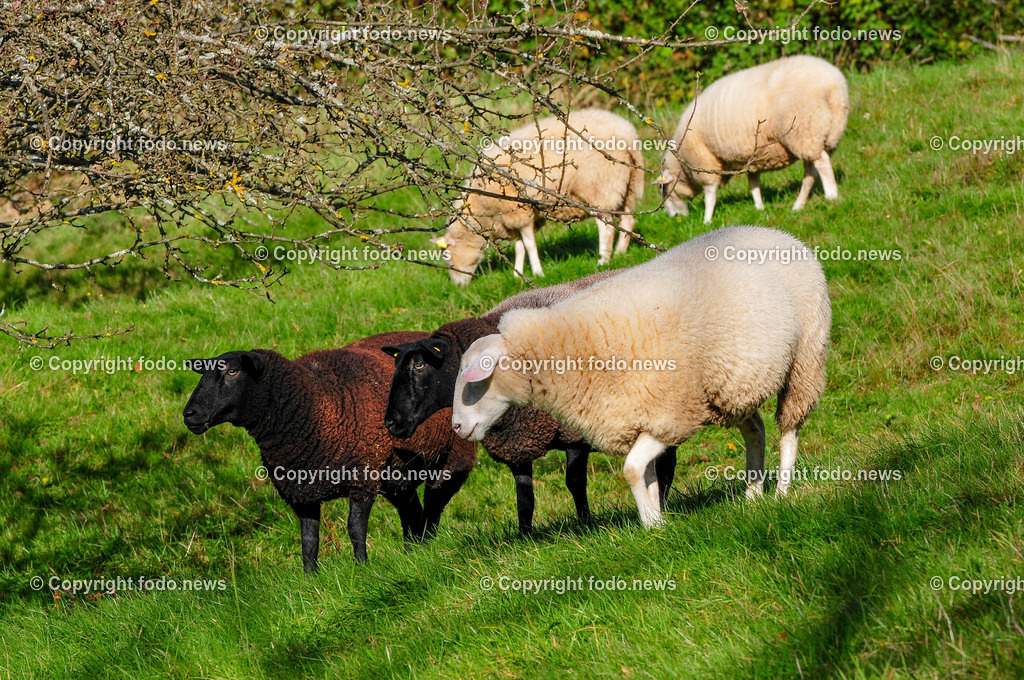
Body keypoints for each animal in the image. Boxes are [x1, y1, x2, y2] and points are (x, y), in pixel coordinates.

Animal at [182, 332, 476, 572]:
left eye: (232, 372)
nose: (189, 414)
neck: (311, 405)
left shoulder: (362, 477)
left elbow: (355, 529)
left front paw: (362, 569)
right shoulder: (301, 493)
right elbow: (309, 541)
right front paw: (309, 578)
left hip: (452, 458)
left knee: (433, 506)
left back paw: (427, 548)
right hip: (397, 477)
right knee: (412, 512)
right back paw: (413, 553)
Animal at [382, 270, 677, 533]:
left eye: (419, 365)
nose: (390, 423)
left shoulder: (574, 437)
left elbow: (574, 482)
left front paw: (586, 524)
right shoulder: (517, 446)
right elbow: (524, 499)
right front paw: (525, 538)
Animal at [438, 108, 645, 286]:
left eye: (447, 257)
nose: (458, 286)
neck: (480, 209)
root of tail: (629, 135)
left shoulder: (518, 212)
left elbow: (529, 245)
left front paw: (538, 273)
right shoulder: (522, 217)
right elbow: (520, 246)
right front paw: (518, 276)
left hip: (601, 187)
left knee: (606, 228)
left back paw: (603, 260)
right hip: (625, 187)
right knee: (628, 222)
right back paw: (620, 253)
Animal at [451, 225, 831, 528]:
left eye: (474, 380)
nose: (455, 427)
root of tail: (778, 234)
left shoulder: (669, 415)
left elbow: (633, 469)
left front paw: (652, 524)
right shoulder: (637, 416)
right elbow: (644, 475)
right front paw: (655, 523)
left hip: (805, 360)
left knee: (789, 428)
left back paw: (781, 491)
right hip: (732, 389)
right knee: (756, 431)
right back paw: (753, 494)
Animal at [656, 55, 849, 223]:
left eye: (663, 189)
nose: (670, 217)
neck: (682, 165)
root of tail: (834, 84)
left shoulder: (705, 161)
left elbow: (710, 194)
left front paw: (707, 220)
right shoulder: (750, 160)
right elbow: (753, 184)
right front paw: (759, 207)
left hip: (805, 129)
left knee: (822, 164)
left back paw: (831, 196)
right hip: (820, 134)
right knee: (810, 172)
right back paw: (798, 205)